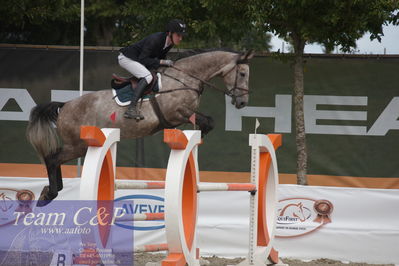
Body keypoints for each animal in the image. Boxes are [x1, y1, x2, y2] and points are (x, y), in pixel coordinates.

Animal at [25, 50, 256, 207]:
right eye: (243, 74)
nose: (242, 102)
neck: (186, 77)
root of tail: (64, 106)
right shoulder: (176, 112)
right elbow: (207, 121)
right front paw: (201, 133)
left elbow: (208, 121)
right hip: (77, 145)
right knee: (52, 158)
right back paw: (50, 193)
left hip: (78, 146)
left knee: (54, 159)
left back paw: (50, 191)